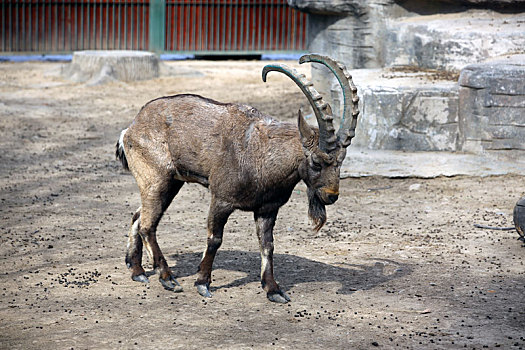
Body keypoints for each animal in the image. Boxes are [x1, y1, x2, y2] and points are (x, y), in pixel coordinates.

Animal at [115, 53, 358, 302]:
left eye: (341, 160)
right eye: (317, 162)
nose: (331, 196)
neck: (261, 155)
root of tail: (130, 129)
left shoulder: (267, 208)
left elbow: (267, 245)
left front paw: (273, 289)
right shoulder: (221, 199)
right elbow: (215, 238)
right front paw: (202, 283)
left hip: (171, 183)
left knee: (138, 216)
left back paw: (138, 271)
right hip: (157, 179)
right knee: (147, 225)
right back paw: (167, 277)